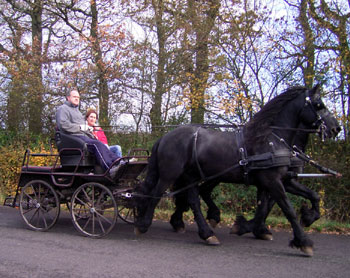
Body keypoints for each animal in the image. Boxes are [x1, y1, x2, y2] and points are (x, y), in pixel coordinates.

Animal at [133, 84, 340, 256]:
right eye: (319, 104)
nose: (336, 128)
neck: (271, 139)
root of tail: (165, 137)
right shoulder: (272, 181)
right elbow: (286, 209)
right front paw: (303, 241)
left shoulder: (284, 180)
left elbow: (310, 196)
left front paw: (307, 218)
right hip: (170, 174)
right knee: (158, 194)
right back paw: (143, 225)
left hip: (192, 176)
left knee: (193, 200)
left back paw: (205, 232)